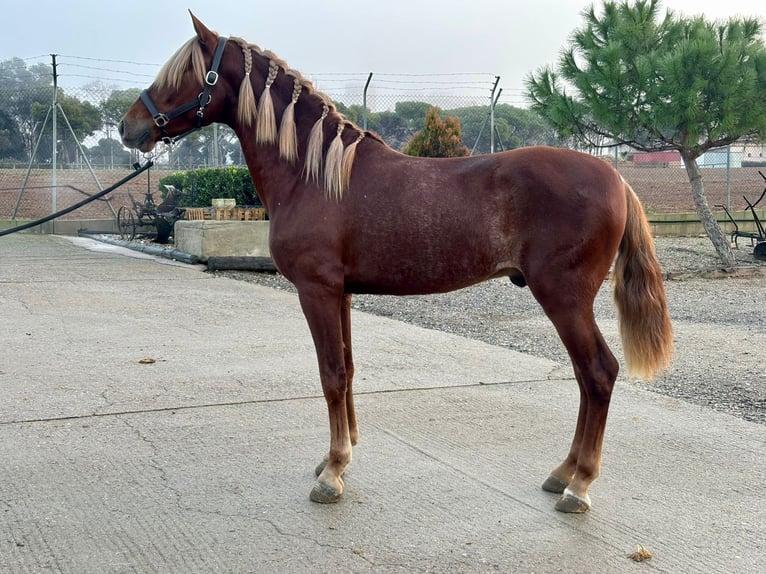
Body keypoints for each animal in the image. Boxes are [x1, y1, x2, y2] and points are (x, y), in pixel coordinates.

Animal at [119, 13, 673, 513]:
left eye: (182, 75)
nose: (129, 127)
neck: (314, 175)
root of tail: (616, 178)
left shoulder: (317, 291)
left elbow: (330, 374)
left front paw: (333, 473)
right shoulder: (339, 293)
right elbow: (346, 371)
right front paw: (336, 458)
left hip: (563, 297)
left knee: (598, 373)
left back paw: (579, 485)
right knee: (585, 377)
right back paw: (562, 473)